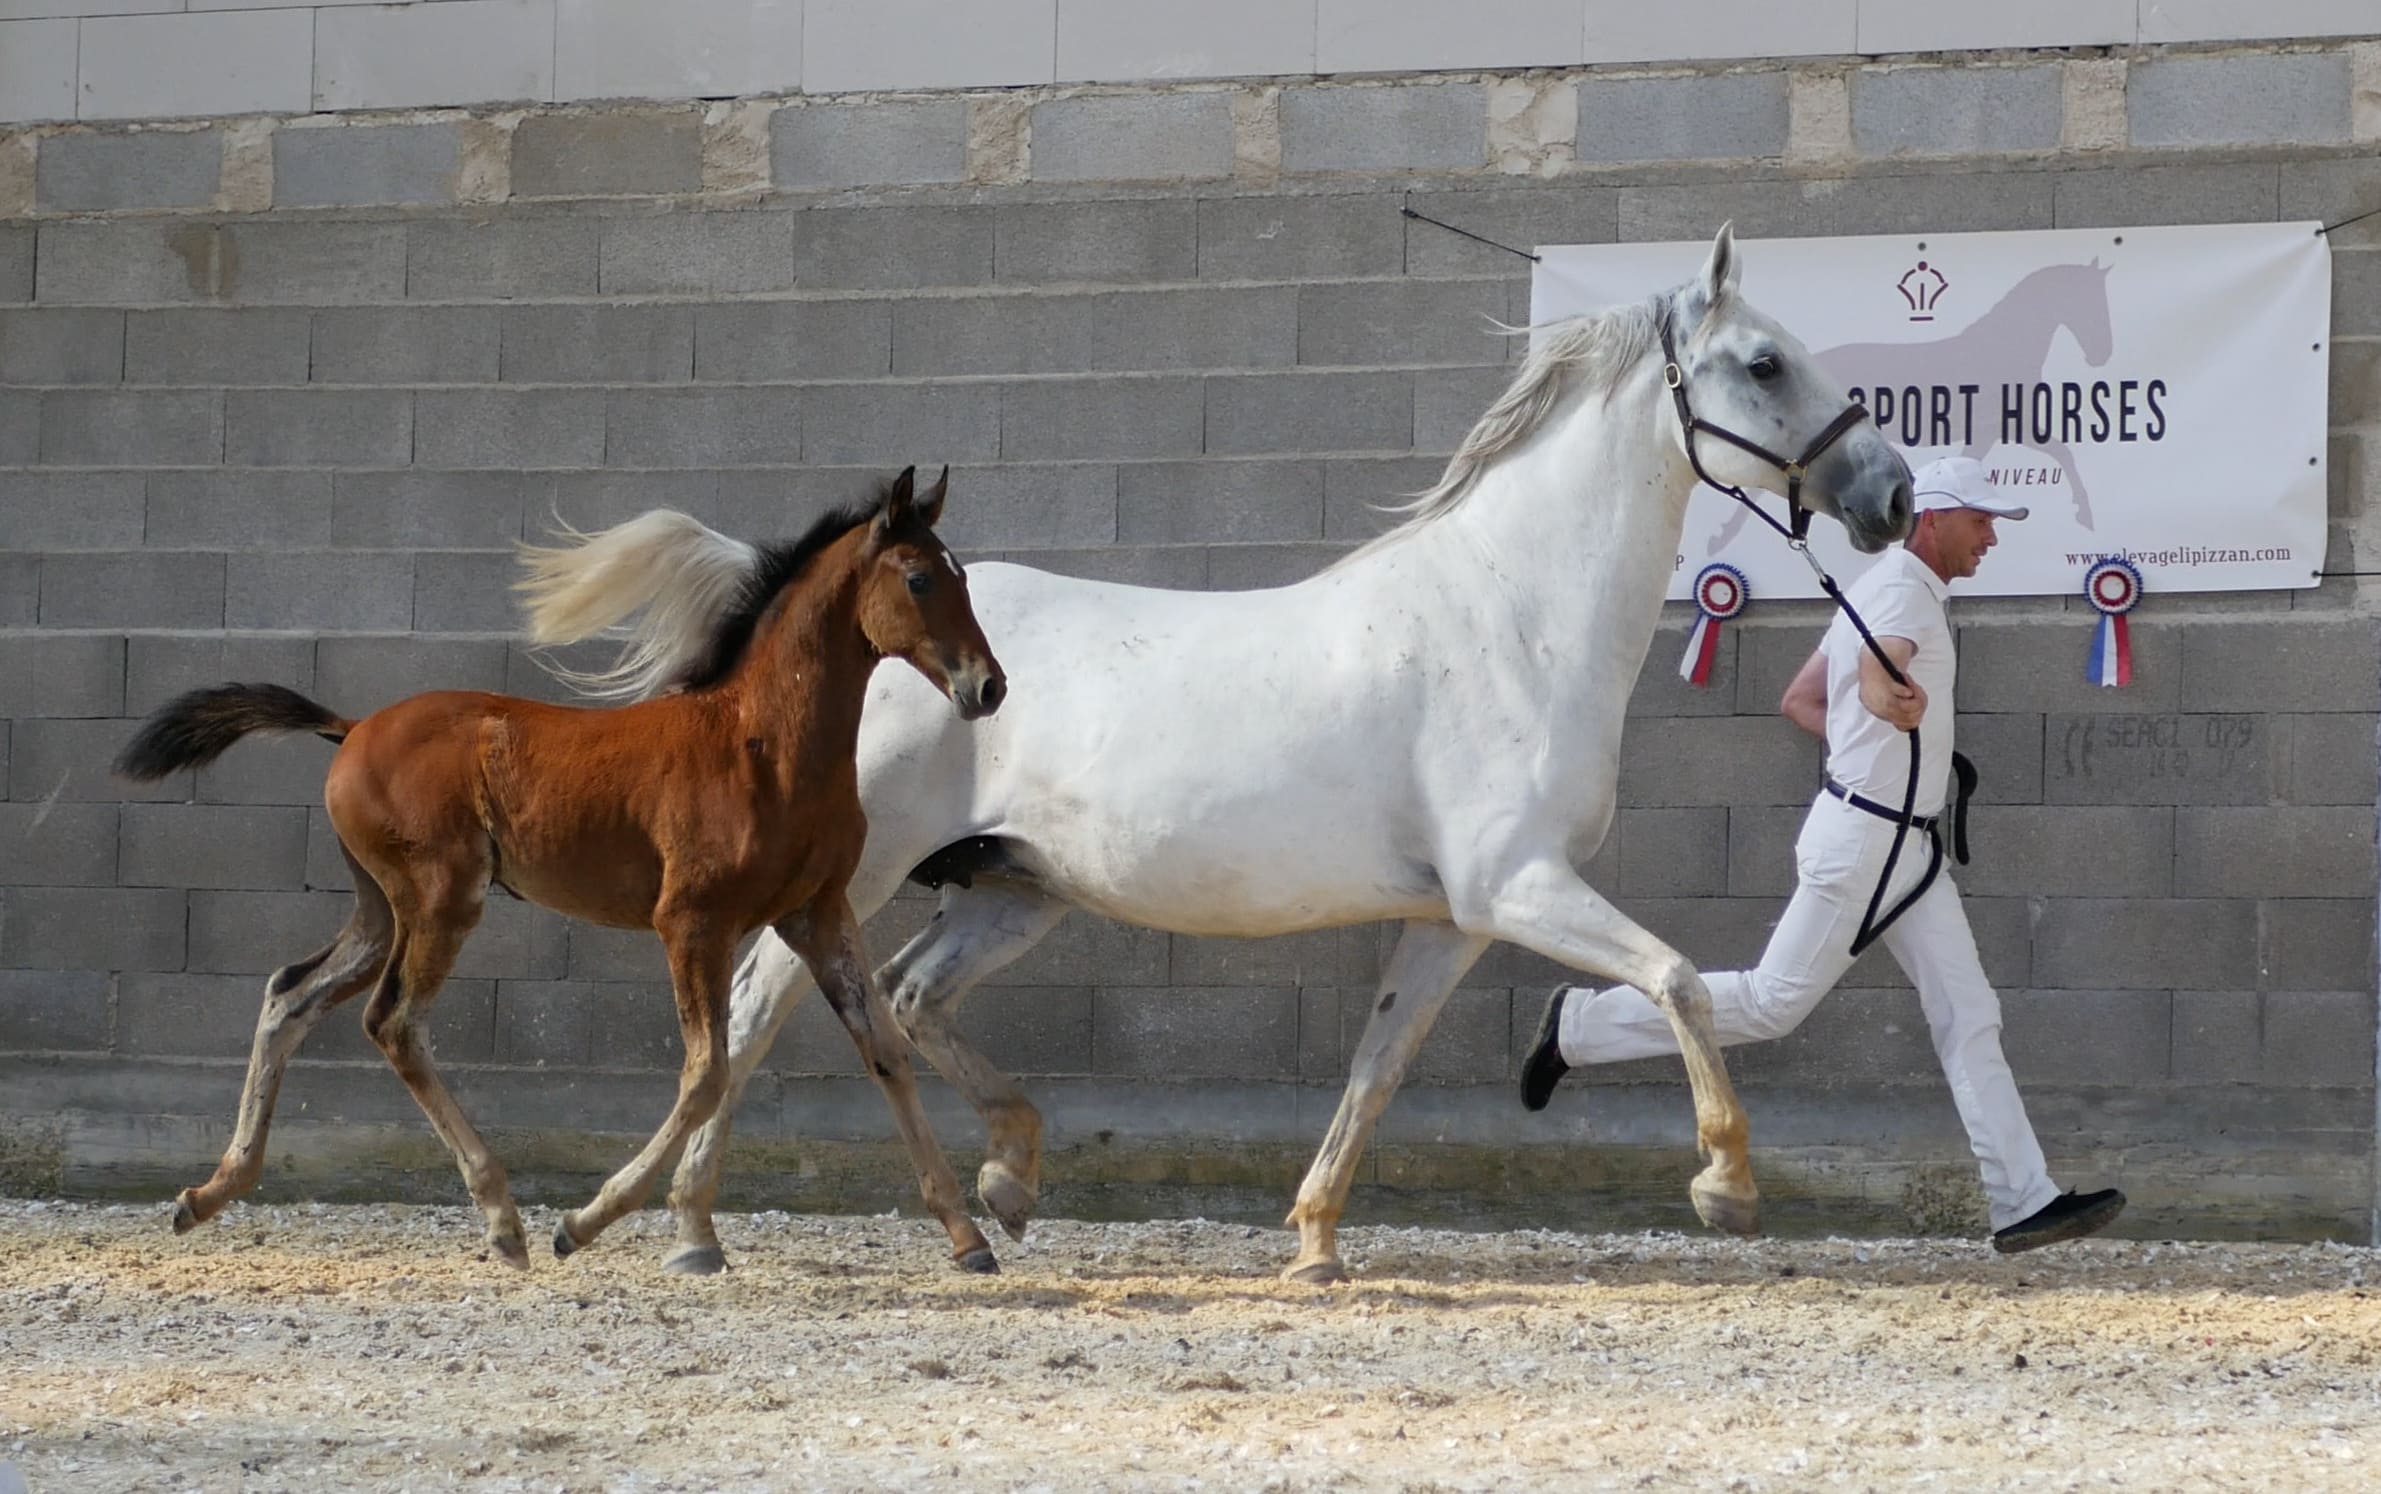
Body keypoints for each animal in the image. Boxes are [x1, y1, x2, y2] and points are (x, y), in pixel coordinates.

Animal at [116, 467, 1009, 1277]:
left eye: (963, 578)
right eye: (921, 577)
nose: (988, 686)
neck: (760, 744)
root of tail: (355, 725)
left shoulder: (818, 912)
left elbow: (882, 1048)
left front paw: (968, 1235)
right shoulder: (692, 920)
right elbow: (705, 1073)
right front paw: (584, 1223)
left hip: (380, 907)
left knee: (290, 994)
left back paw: (208, 1193)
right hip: (441, 898)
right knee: (392, 1020)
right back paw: (504, 1221)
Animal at [526, 225, 1914, 1286]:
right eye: (1763, 360)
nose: (1888, 495)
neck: (1509, 616)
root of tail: (859, 644)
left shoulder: (1453, 920)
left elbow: (1376, 1066)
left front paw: (1313, 1242)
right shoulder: (1518, 888)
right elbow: (1679, 981)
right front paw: (1725, 1186)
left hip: (1011, 888)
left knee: (909, 998)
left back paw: (1006, 1178)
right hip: (857, 877)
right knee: (767, 1003)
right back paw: (694, 1228)